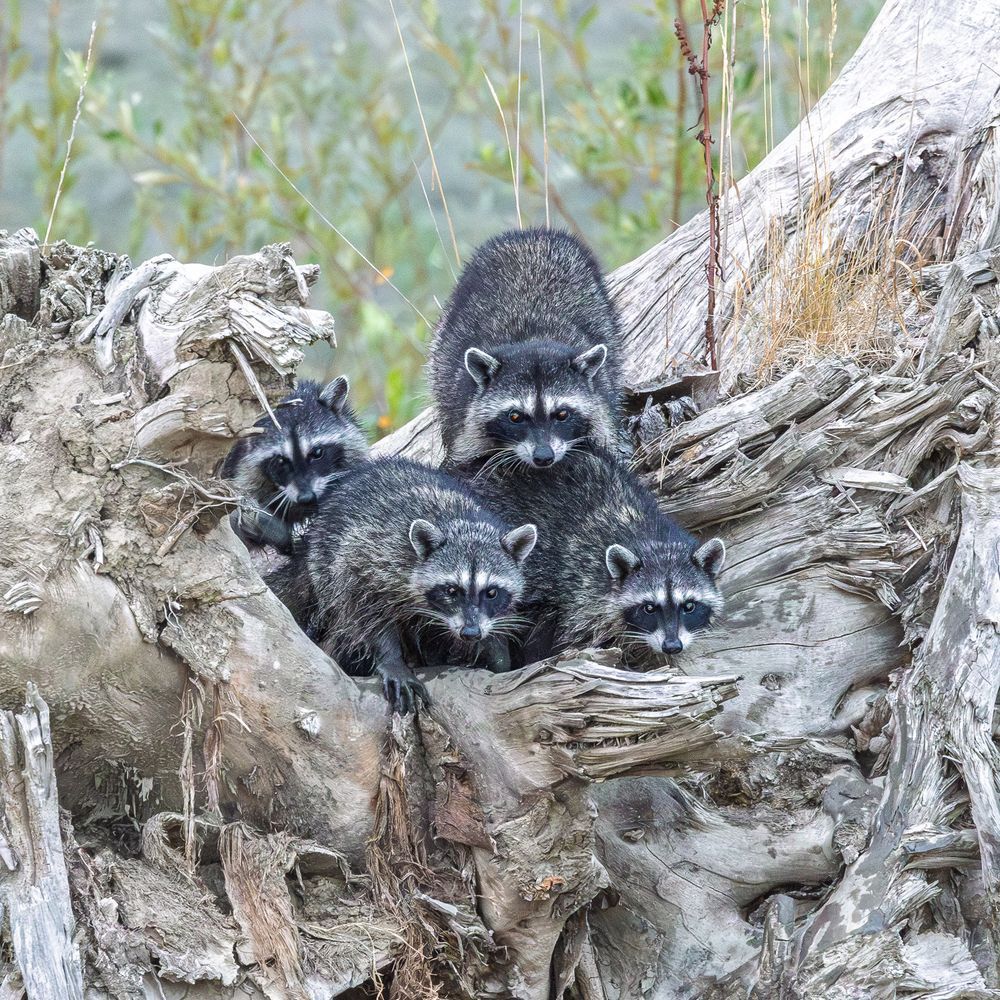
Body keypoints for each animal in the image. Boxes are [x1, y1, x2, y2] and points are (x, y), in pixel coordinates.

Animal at [284, 458, 537, 713]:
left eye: (492, 592)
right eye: (452, 590)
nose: (471, 633)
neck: (465, 526)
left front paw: (496, 652)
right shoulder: (370, 557)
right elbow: (364, 606)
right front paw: (391, 658)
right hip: (323, 564)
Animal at [429, 228, 625, 472]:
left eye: (562, 414)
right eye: (515, 417)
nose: (543, 456)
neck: (532, 341)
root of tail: (532, 234)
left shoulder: (601, 408)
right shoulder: (465, 420)